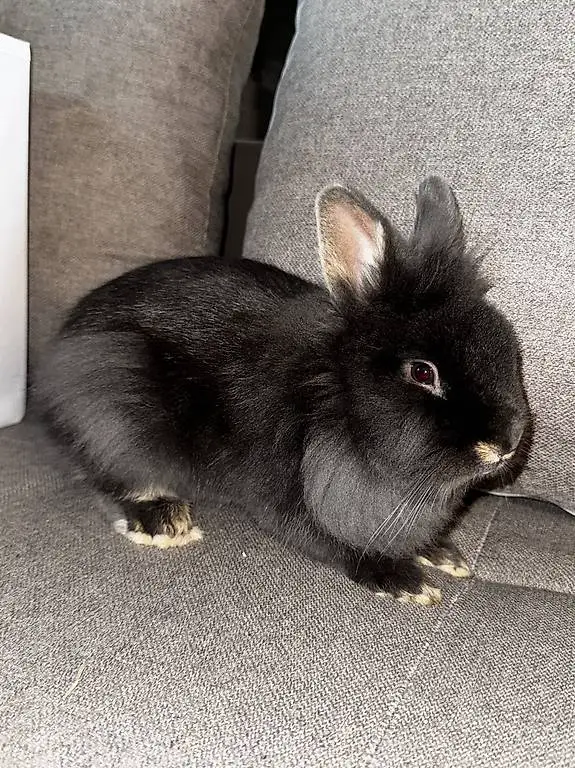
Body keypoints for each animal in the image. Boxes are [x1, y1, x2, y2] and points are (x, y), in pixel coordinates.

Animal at [35, 176, 530, 606]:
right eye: (423, 373)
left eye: (507, 346)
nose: (506, 443)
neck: (339, 398)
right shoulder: (295, 499)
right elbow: (336, 542)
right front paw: (404, 581)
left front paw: (445, 554)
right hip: (116, 407)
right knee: (106, 476)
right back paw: (164, 521)